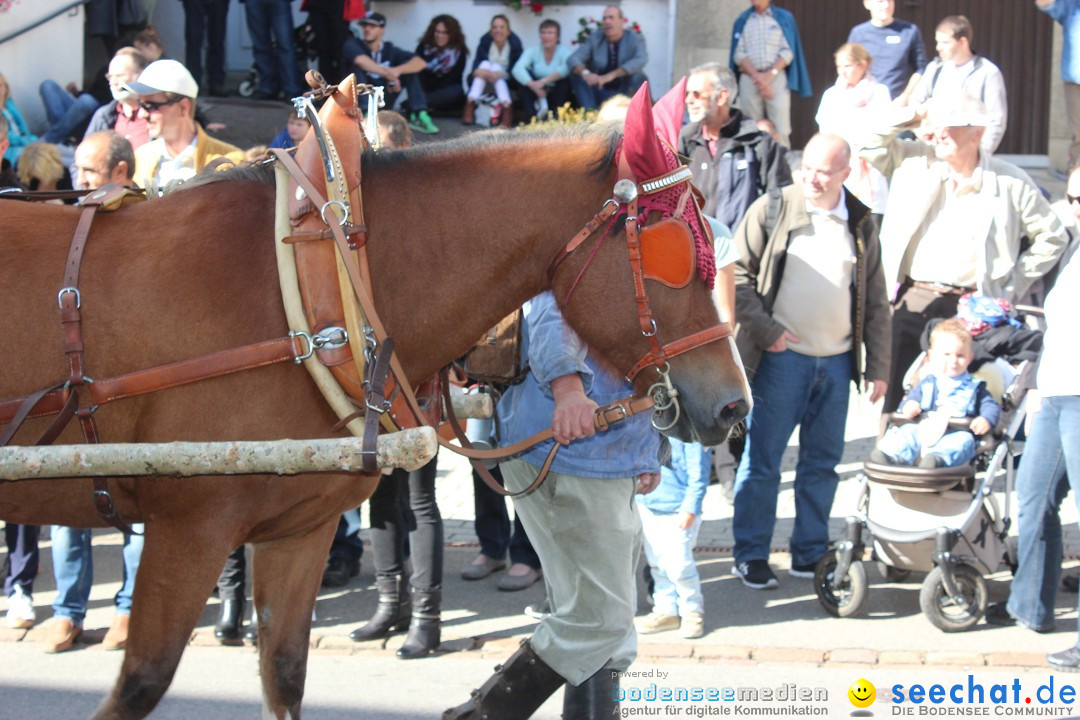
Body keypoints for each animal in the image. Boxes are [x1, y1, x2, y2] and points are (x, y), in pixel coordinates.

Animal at [0, 124, 751, 716]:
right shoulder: (190, 526)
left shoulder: (295, 531)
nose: (735, 404)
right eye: (673, 255)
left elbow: (284, 674)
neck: (314, 284)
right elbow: (143, 682)